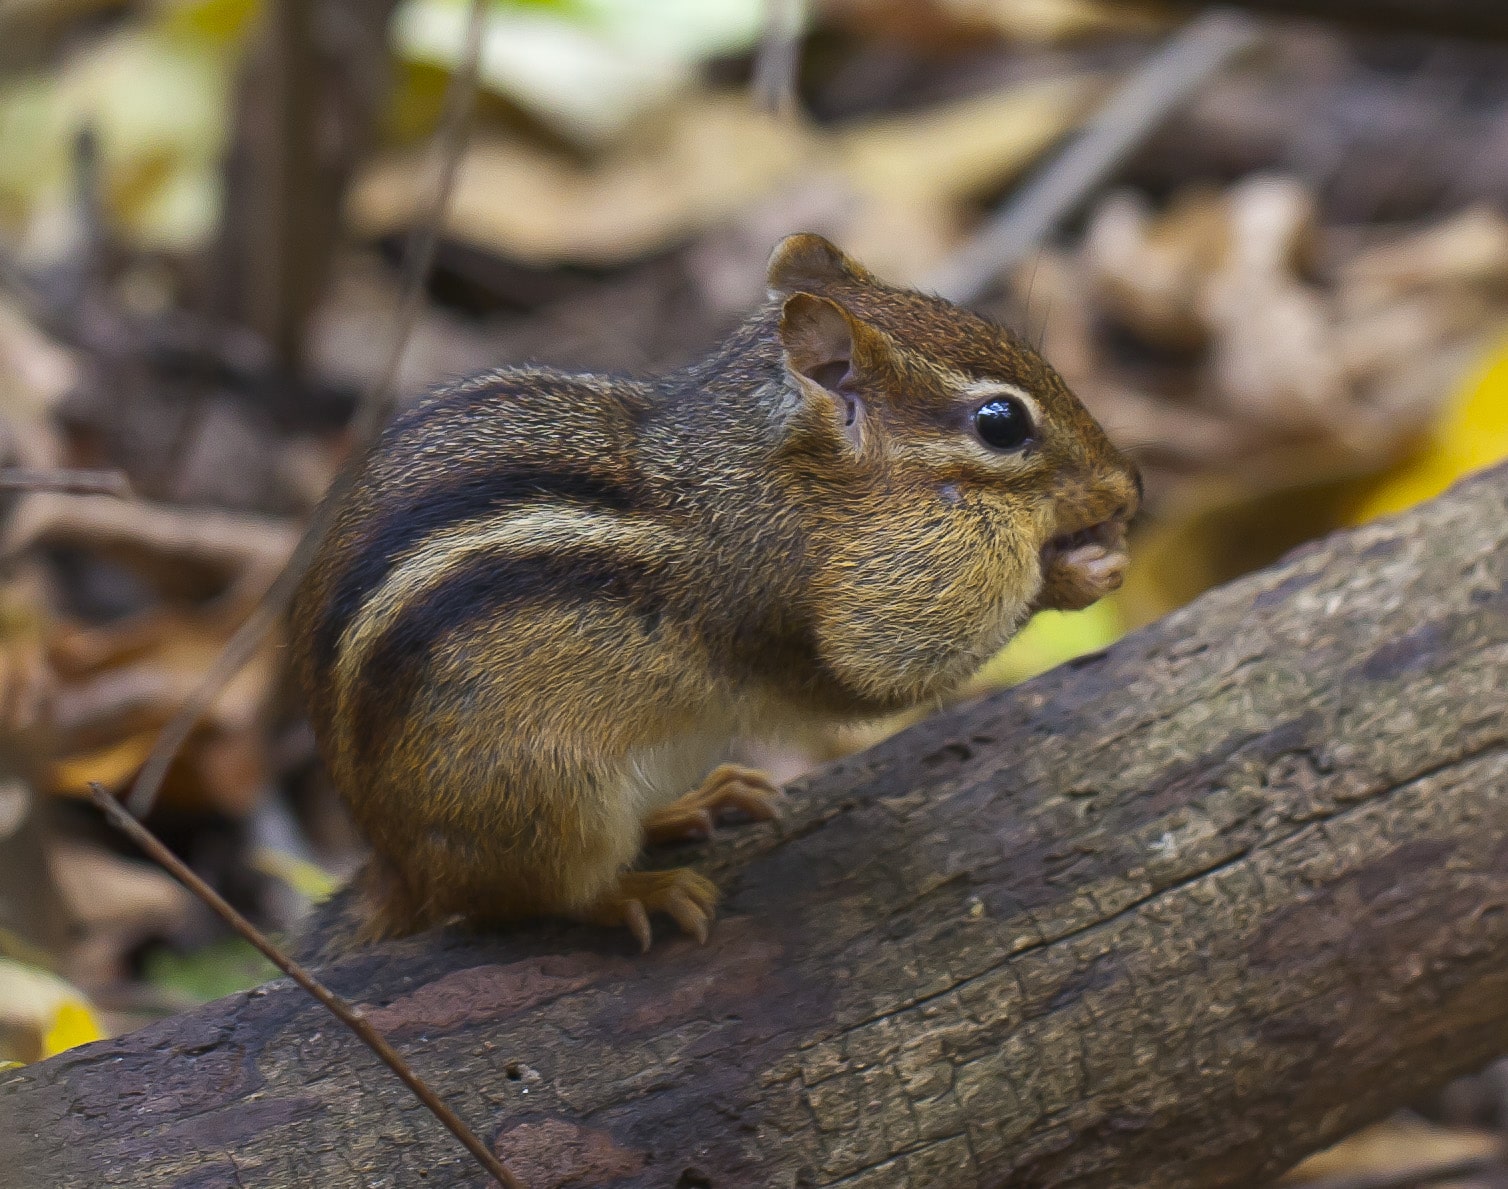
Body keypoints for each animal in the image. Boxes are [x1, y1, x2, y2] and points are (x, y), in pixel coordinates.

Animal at [289, 233, 1140, 952]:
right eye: (1001, 422)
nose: (1128, 487)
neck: (771, 472)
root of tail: (395, 859)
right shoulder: (822, 602)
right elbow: (875, 678)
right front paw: (1073, 572)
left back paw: (693, 804)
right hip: (543, 800)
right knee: (524, 900)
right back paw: (639, 891)